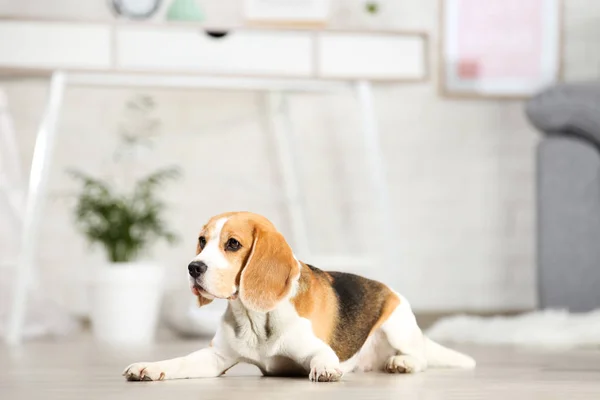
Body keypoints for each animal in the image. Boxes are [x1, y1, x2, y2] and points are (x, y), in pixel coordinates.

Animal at [124, 211, 476, 382]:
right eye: (202, 240)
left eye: (233, 244)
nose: (193, 267)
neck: (256, 318)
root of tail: (390, 290)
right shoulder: (215, 359)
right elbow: (179, 361)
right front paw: (149, 368)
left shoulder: (314, 349)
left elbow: (322, 359)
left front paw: (326, 370)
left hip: (396, 324)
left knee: (420, 358)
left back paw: (401, 362)